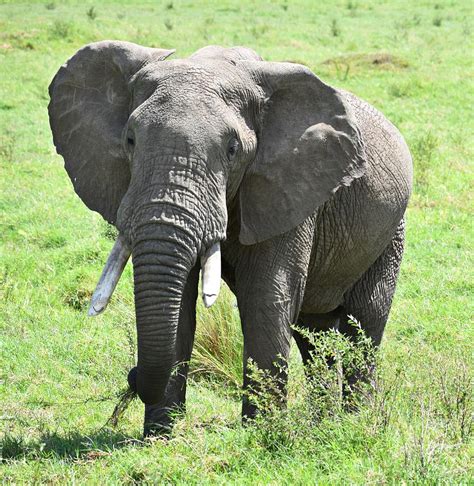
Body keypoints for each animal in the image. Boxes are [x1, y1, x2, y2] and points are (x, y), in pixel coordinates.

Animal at [47, 41, 412, 436]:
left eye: (233, 149)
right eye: (130, 140)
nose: (131, 377)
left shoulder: (289, 189)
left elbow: (267, 296)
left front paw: (263, 434)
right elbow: (181, 303)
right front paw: (159, 437)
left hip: (391, 231)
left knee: (365, 320)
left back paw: (356, 421)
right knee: (312, 331)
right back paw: (323, 421)